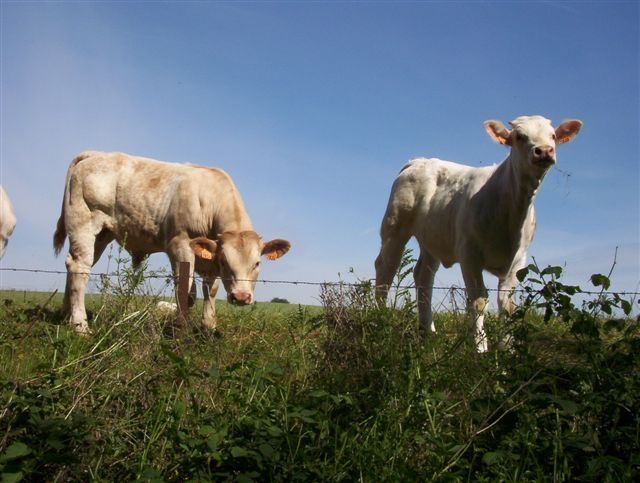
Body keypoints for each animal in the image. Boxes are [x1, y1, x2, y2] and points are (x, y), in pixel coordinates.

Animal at [53, 153, 292, 334]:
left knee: (72, 266)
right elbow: (187, 290)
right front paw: (181, 326)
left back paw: (66, 315)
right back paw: (80, 325)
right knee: (80, 267)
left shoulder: (209, 259)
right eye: (226, 262)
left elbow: (210, 290)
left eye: (257, 263)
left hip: (103, 234)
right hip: (84, 224)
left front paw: (208, 325)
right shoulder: (180, 245)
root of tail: (95, 154)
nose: (241, 297)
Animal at [376, 116, 584, 354]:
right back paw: (379, 318)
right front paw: (481, 349)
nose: (544, 151)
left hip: (433, 239)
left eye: (553, 136)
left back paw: (428, 331)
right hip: (395, 227)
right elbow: (478, 300)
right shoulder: (469, 254)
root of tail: (419, 161)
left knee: (423, 276)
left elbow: (507, 305)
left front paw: (508, 350)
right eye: (519, 136)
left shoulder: (518, 261)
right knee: (385, 270)